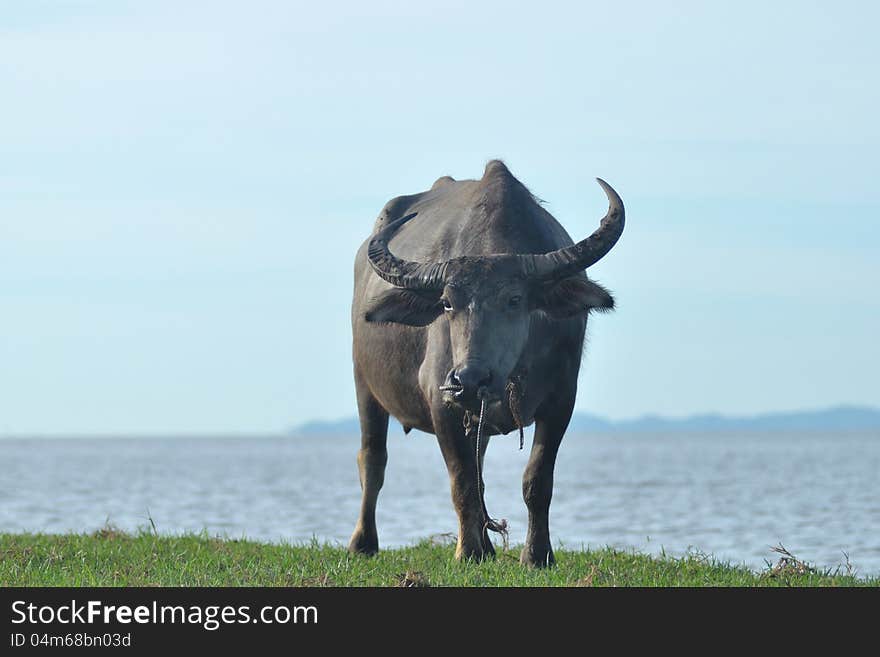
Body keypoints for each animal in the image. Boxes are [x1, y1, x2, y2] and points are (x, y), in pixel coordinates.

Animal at [348, 160, 624, 564]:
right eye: (447, 303)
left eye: (514, 299)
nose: (469, 379)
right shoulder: (442, 402)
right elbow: (461, 481)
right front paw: (468, 552)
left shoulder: (561, 401)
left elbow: (537, 480)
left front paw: (537, 555)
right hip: (365, 384)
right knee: (373, 460)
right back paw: (363, 542)